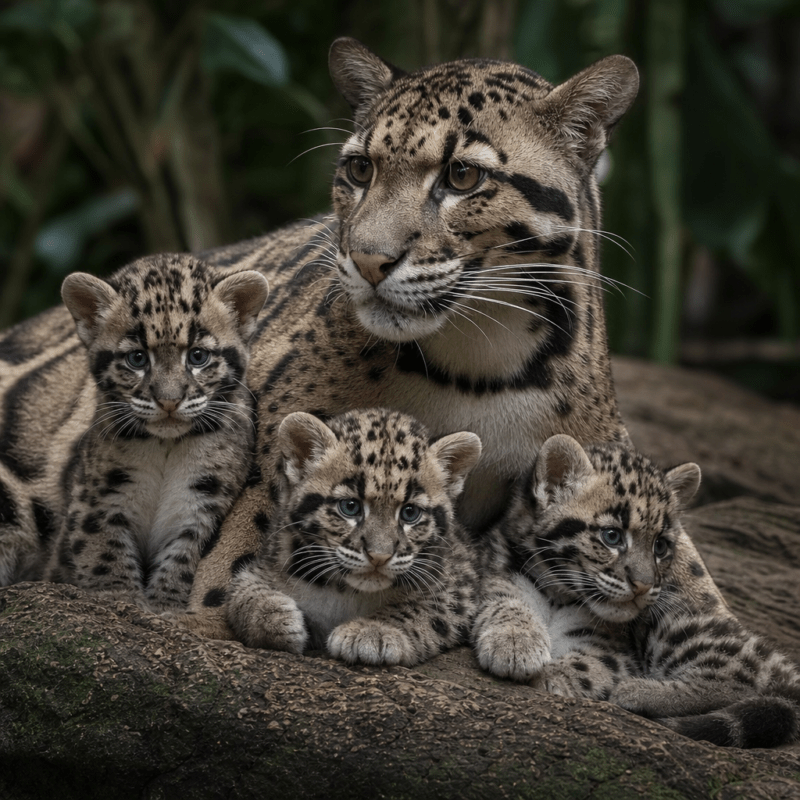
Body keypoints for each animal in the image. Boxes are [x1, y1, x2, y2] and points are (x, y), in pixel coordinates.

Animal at [41, 254, 268, 610]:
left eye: (198, 356)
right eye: (137, 358)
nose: (169, 400)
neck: (165, 447)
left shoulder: (206, 500)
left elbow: (185, 555)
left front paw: (164, 603)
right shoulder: (97, 494)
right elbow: (101, 545)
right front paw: (120, 595)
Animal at [226, 407, 483, 666]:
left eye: (410, 513)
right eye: (350, 507)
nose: (379, 557)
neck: (347, 593)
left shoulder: (458, 587)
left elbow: (421, 610)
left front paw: (373, 630)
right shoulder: (266, 563)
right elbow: (242, 594)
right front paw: (275, 618)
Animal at [474, 434, 800, 748]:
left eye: (661, 546)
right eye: (612, 536)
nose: (644, 586)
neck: (558, 592)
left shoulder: (613, 648)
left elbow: (592, 665)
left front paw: (553, 675)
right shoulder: (497, 577)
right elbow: (505, 604)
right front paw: (515, 644)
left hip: (679, 626)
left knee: (738, 682)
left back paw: (635, 691)